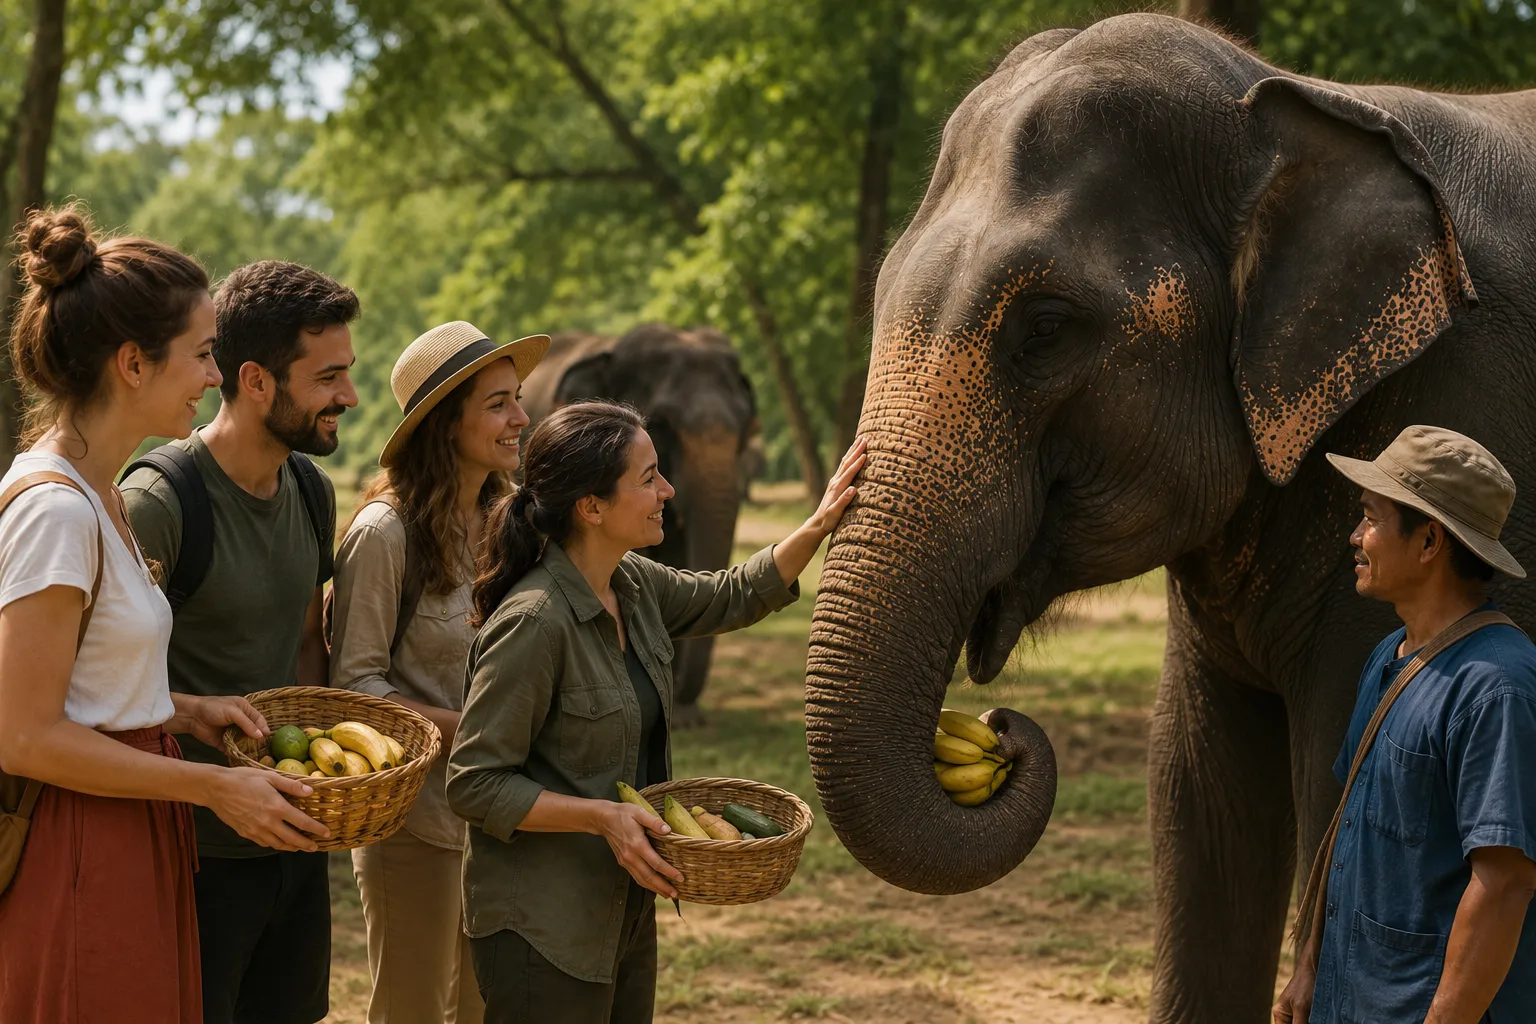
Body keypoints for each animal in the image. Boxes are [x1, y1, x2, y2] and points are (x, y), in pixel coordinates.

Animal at [803, 13, 1535, 1021]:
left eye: (1044, 327)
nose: (1001, 729)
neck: (1290, 97)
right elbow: (1198, 799)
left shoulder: (1462, 411)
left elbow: (1334, 777)